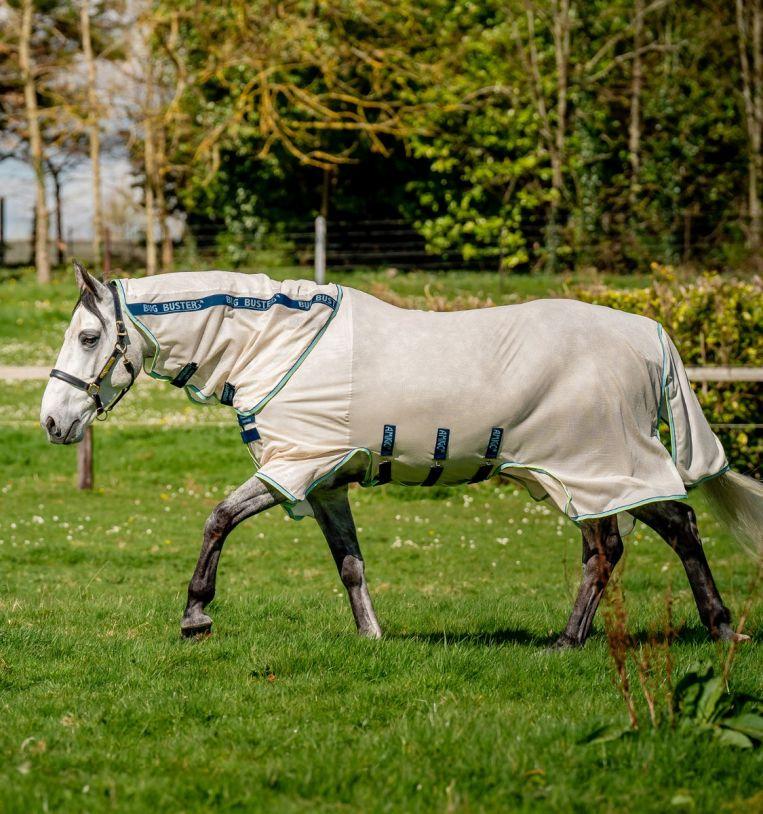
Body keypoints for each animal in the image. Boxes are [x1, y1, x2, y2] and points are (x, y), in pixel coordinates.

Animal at [40, 264, 760, 648]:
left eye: (88, 336)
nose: (53, 421)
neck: (274, 345)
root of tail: (647, 334)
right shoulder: (324, 483)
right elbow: (350, 564)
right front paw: (371, 636)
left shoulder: (292, 468)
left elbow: (217, 518)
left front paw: (195, 616)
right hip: (579, 476)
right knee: (638, 538)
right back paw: (683, 630)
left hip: (594, 467)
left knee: (636, 539)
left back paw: (597, 638)